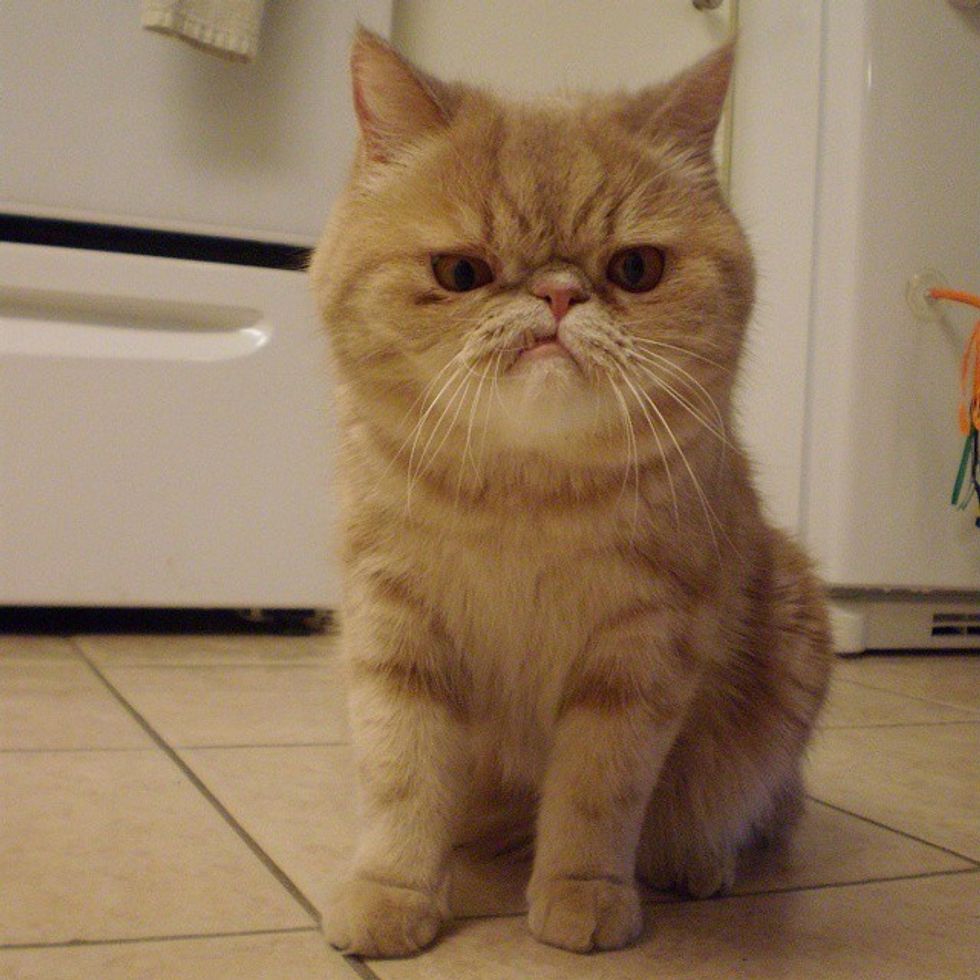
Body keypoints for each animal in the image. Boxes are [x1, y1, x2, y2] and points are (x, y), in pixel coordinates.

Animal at [309, 27, 833, 958]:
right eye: (461, 272)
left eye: (636, 267)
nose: (557, 293)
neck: (525, 500)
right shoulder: (393, 631)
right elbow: (402, 774)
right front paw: (392, 890)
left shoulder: (638, 655)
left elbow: (598, 792)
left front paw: (583, 892)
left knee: (756, 809)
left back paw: (695, 856)